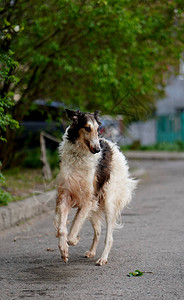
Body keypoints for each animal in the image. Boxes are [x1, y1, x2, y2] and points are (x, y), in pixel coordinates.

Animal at [54, 109, 136, 264]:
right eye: (87, 128)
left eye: (98, 129)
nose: (98, 149)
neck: (79, 156)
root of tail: (114, 147)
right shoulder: (65, 195)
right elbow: (62, 228)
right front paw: (63, 250)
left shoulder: (87, 200)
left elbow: (72, 232)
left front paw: (74, 240)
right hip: (95, 208)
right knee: (98, 232)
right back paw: (91, 252)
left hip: (109, 202)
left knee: (109, 237)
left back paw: (103, 259)